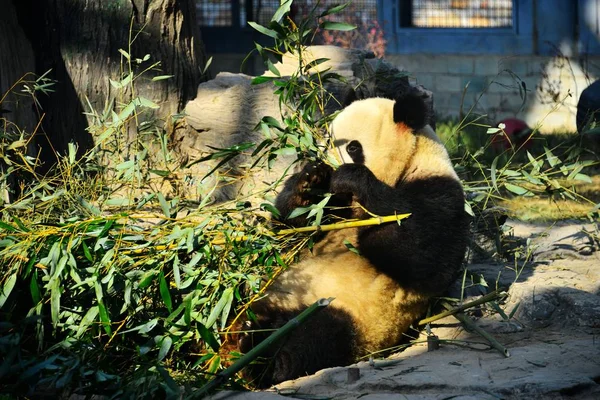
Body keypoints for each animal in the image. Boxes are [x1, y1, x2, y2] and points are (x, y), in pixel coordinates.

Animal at [232, 87, 472, 388]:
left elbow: (424, 256)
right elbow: (289, 229)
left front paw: (351, 178)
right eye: (326, 140)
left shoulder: (439, 190)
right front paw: (311, 179)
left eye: (353, 148)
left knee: (318, 337)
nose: (329, 165)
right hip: (258, 293)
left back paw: (265, 360)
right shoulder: (333, 210)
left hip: (350, 315)